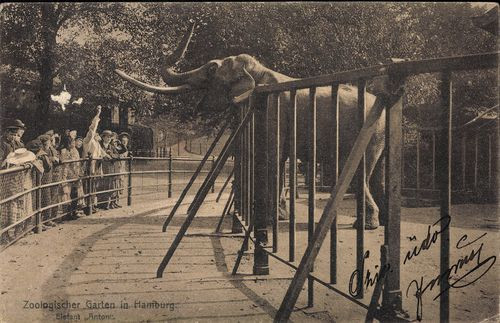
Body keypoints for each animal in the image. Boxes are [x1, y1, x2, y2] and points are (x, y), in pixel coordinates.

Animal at [116, 24, 386, 229]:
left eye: (211, 69)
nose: (116, 67)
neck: (259, 70)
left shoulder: (274, 111)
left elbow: (272, 157)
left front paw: (269, 221)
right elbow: (276, 159)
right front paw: (279, 217)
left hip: (367, 134)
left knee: (356, 173)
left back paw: (367, 225)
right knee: (373, 175)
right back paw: (373, 223)